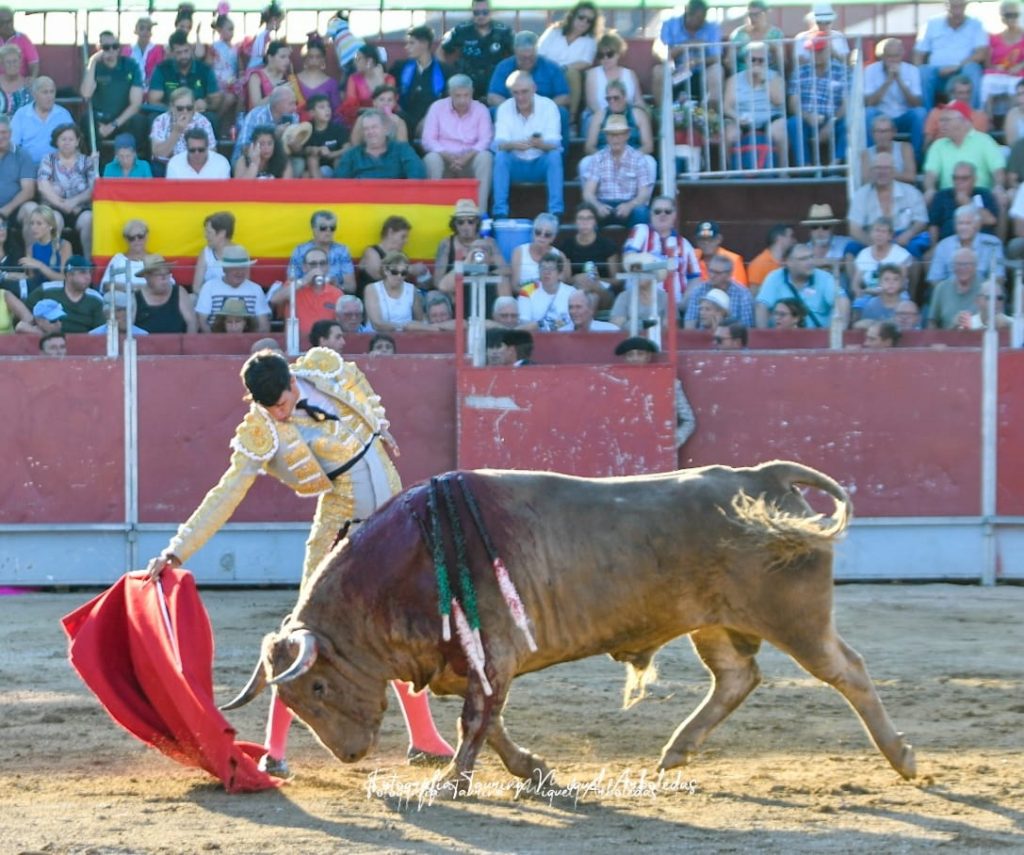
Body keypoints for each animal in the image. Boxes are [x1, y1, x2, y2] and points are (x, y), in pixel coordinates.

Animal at [228, 464, 917, 786]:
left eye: (318, 686)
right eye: (296, 699)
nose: (349, 754)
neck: (414, 556)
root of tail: (765, 477)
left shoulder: (490, 655)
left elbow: (477, 721)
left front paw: (451, 782)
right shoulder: (476, 661)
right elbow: (493, 724)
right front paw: (532, 770)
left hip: (796, 620)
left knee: (847, 672)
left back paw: (904, 759)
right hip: (712, 622)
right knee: (736, 678)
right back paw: (676, 751)